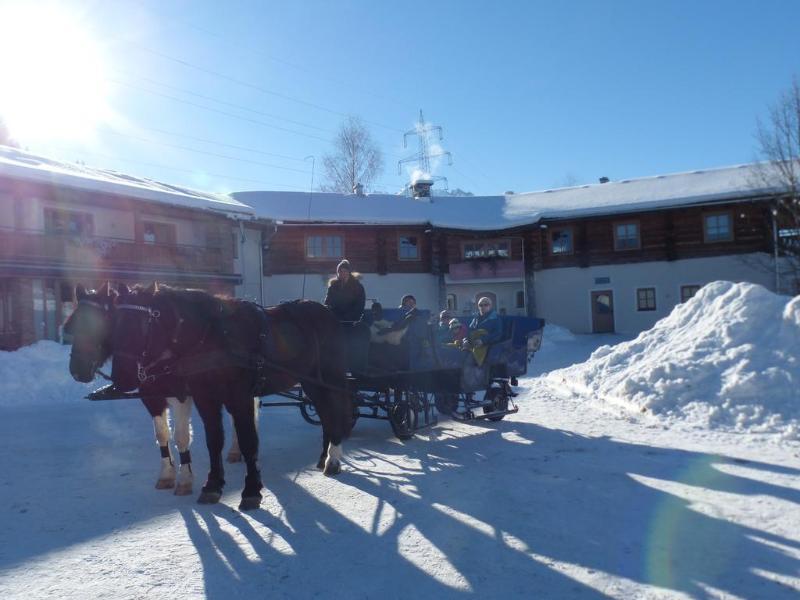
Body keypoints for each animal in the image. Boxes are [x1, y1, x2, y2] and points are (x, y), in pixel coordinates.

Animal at [110, 286, 354, 510]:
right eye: (114, 323)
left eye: (138, 324)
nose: (119, 379)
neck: (213, 337)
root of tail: (326, 312)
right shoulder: (205, 399)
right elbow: (214, 440)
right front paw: (212, 486)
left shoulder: (240, 397)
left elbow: (248, 441)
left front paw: (252, 490)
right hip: (311, 382)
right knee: (325, 413)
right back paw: (324, 457)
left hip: (329, 378)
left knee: (333, 411)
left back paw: (333, 458)